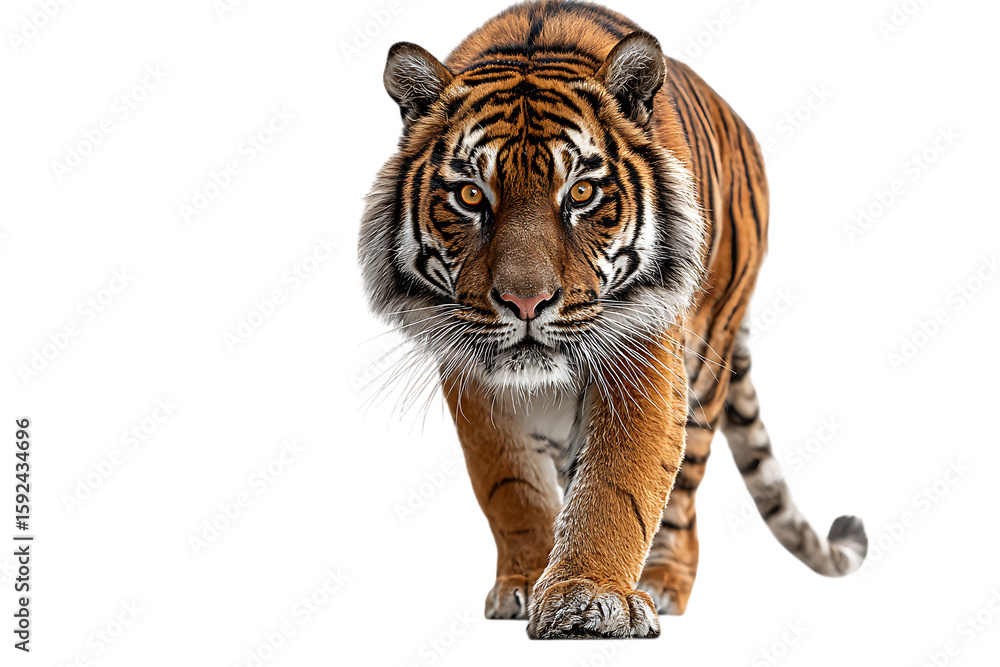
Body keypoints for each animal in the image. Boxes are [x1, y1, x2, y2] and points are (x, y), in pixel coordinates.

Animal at [358, 0, 868, 639]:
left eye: (580, 193)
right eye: (472, 196)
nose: (527, 303)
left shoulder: (646, 354)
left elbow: (618, 484)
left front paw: (589, 596)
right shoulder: (472, 376)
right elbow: (510, 487)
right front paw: (527, 581)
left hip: (708, 362)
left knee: (682, 499)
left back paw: (663, 582)